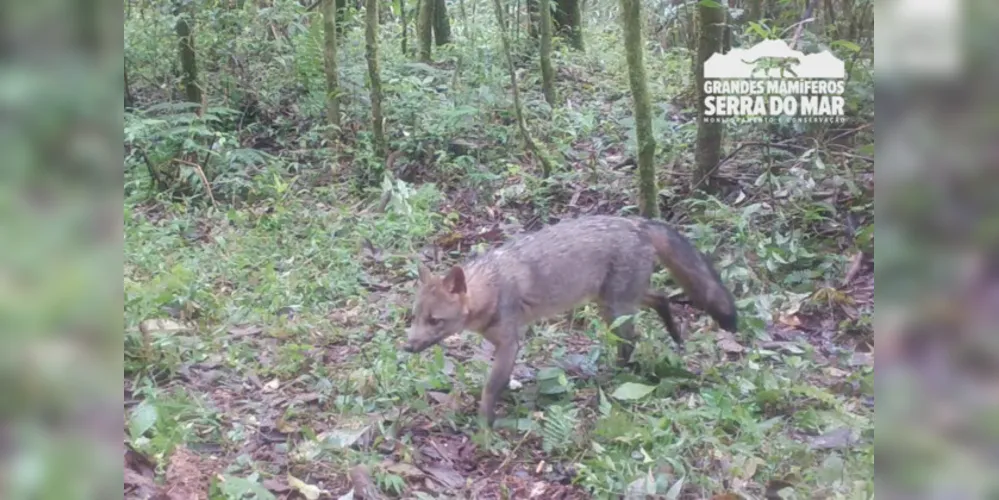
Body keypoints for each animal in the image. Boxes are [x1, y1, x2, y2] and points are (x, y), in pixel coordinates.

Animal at [402, 213, 740, 428]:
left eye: (435, 321)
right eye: (415, 317)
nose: (406, 347)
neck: (492, 286)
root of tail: (636, 222)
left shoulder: (510, 343)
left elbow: (490, 388)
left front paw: (484, 425)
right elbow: (498, 382)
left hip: (615, 310)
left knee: (631, 341)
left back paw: (614, 377)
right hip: (614, 301)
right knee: (661, 298)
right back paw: (673, 334)